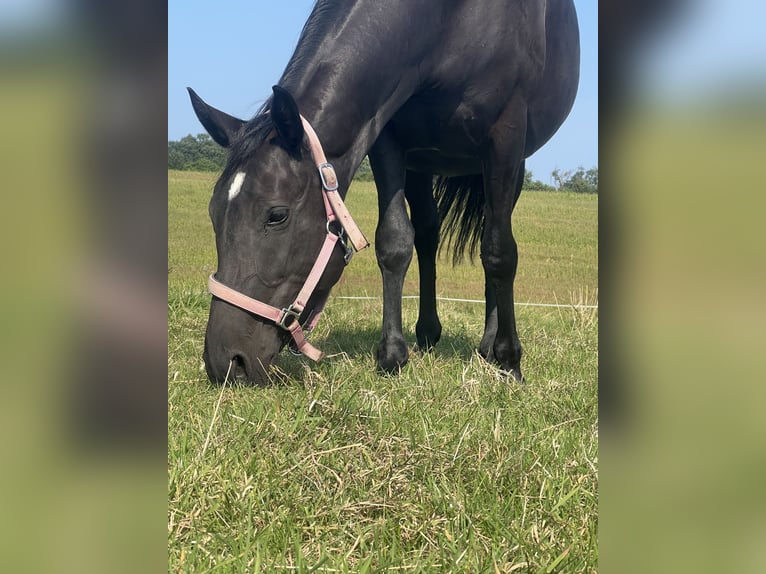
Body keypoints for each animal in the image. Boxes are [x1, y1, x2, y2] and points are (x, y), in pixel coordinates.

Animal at [189, 1, 580, 388]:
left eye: (276, 215)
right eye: (212, 213)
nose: (226, 363)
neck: (450, 22)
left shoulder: (506, 139)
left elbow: (499, 252)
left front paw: (509, 360)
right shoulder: (388, 138)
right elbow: (394, 242)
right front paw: (392, 356)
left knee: (490, 237)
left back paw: (487, 345)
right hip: (423, 163)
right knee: (427, 234)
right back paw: (427, 333)